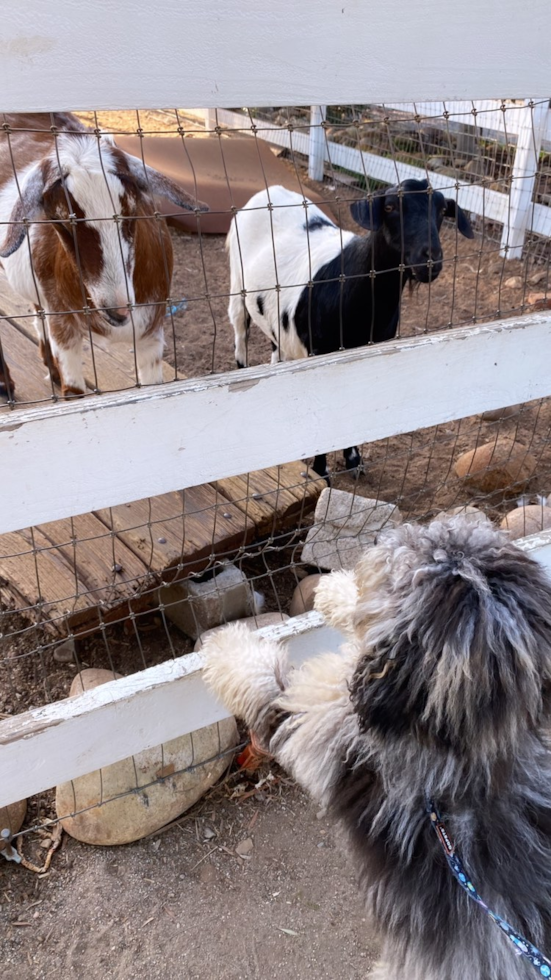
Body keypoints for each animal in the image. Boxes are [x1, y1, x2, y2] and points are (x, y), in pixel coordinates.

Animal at [0, 117, 207, 400]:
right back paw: (5, 384)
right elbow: (73, 390)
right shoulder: (63, 323)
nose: (118, 310)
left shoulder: (152, 330)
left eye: (132, 210)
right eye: (61, 221)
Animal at [203, 516, 551, 976]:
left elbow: (265, 680)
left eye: (409, 563)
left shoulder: (317, 721)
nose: (382, 538)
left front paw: (221, 644)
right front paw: (333, 590)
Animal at [229, 182, 474, 480]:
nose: (430, 259)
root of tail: (270, 190)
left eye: (441, 210)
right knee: (240, 334)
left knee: (277, 348)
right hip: (237, 284)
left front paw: (354, 460)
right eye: (389, 207)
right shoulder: (320, 352)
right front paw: (321, 471)